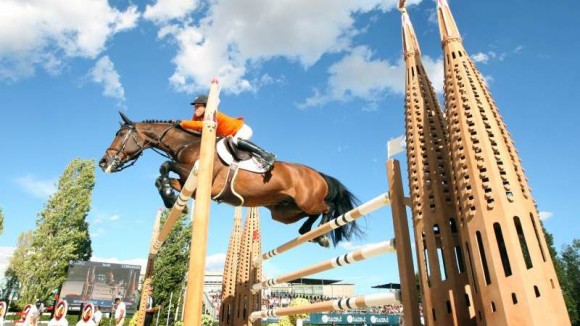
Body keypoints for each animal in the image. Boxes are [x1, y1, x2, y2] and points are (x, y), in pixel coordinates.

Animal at [99, 112, 362, 247]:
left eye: (120, 134)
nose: (103, 162)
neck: (188, 144)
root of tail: (319, 174)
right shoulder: (190, 185)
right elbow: (163, 179)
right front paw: (171, 200)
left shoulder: (201, 179)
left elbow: (164, 166)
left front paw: (170, 198)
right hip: (284, 211)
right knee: (308, 216)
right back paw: (308, 232)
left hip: (307, 200)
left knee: (326, 208)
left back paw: (322, 235)